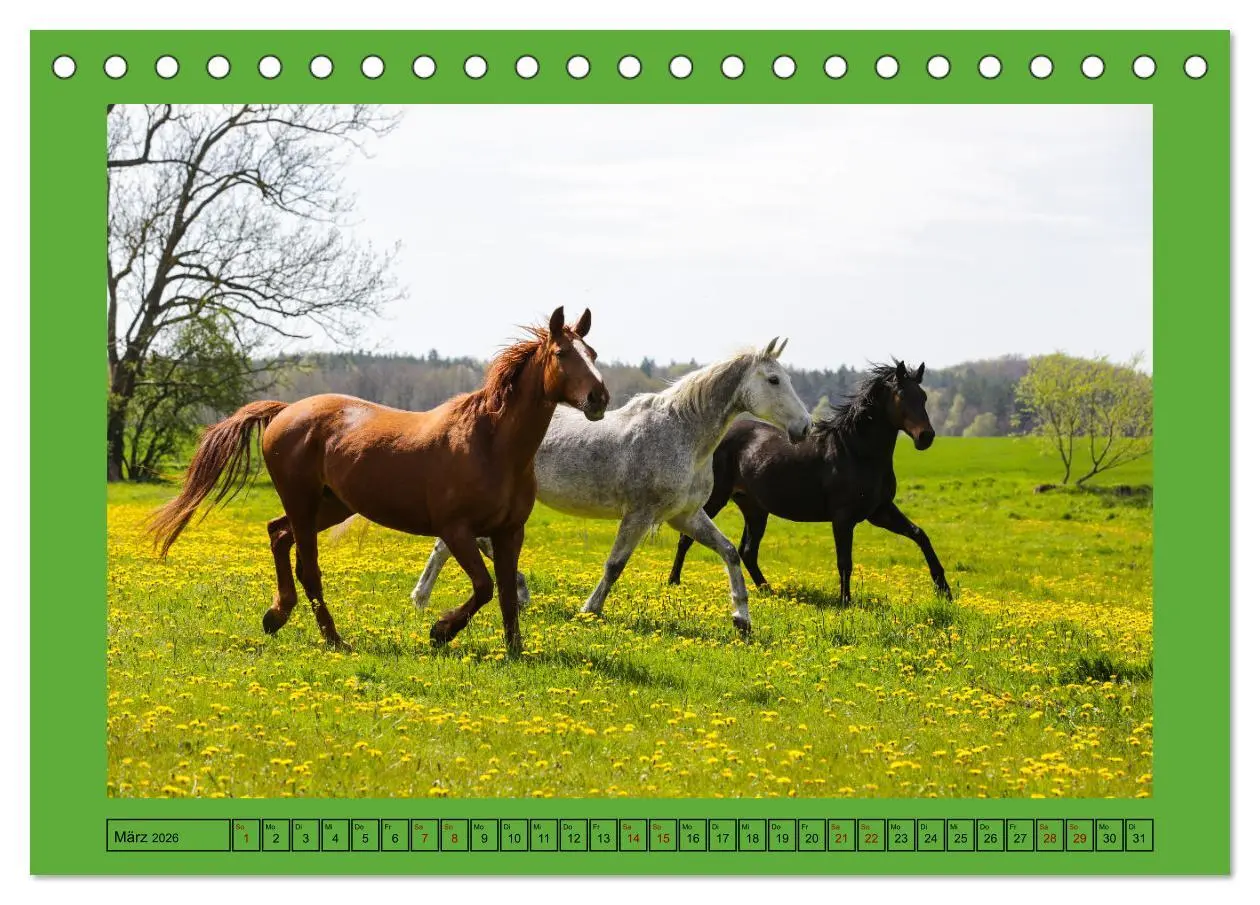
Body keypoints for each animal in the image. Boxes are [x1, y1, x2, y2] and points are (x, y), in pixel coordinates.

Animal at [148, 307, 609, 655]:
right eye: (562, 353)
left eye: (593, 351)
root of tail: (284, 411)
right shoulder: (456, 530)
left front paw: (515, 651)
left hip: (330, 505)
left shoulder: (510, 532)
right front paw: (440, 632)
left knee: (278, 534)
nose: (599, 399)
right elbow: (484, 587)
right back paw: (335, 640)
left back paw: (276, 615)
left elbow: (508, 596)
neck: (490, 443)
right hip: (303, 501)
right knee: (307, 566)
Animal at [409, 338, 813, 638]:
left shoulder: (684, 516)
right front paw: (590, 610)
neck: (681, 433)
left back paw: (431, 598)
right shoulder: (640, 514)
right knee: (460, 542)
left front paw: (742, 619)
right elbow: (615, 564)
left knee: (450, 543)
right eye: (773, 380)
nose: (805, 427)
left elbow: (729, 551)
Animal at [668, 360, 952, 605]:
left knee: (748, 551)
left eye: (923, 397)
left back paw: (768, 591)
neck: (855, 452)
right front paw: (845, 602)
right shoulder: (843, 518)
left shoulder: (880, 511)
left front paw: (944, 590)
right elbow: (844, 561)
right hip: (716, 498)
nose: (926, 437)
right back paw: (673, 583)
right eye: (902, 397)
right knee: (686, 538)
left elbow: (920, 535)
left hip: (755, 509)